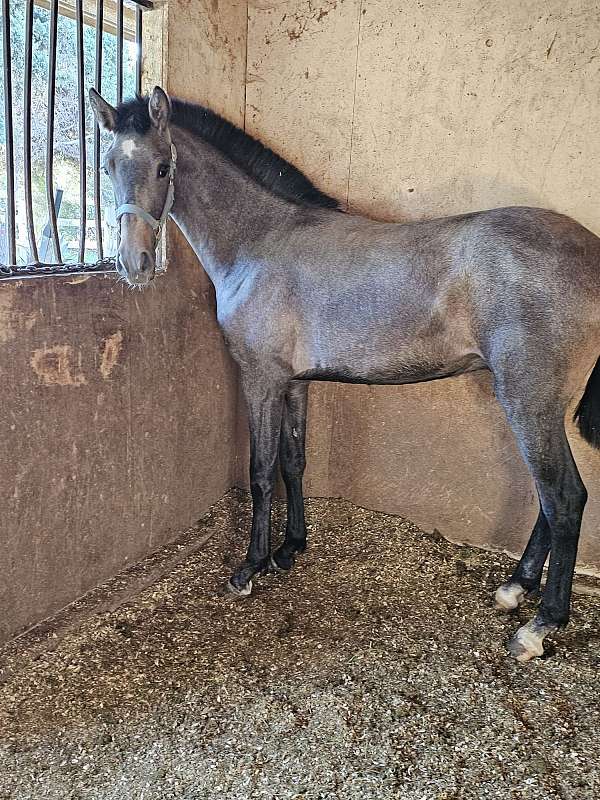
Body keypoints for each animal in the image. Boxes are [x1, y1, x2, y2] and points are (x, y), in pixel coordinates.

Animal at [89, 86, 600, 664]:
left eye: (161, 166)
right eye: (108, 166)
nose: (134, 264)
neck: (262, 241)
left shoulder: (261, 380)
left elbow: (261, 470)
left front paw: (250, 567)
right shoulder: (295, 382)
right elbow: (293, 461)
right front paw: (291, 548)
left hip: (527, 401)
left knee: (564, 498)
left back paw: (539, 625)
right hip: (541, 406)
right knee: (548, 499)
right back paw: (515, 587)